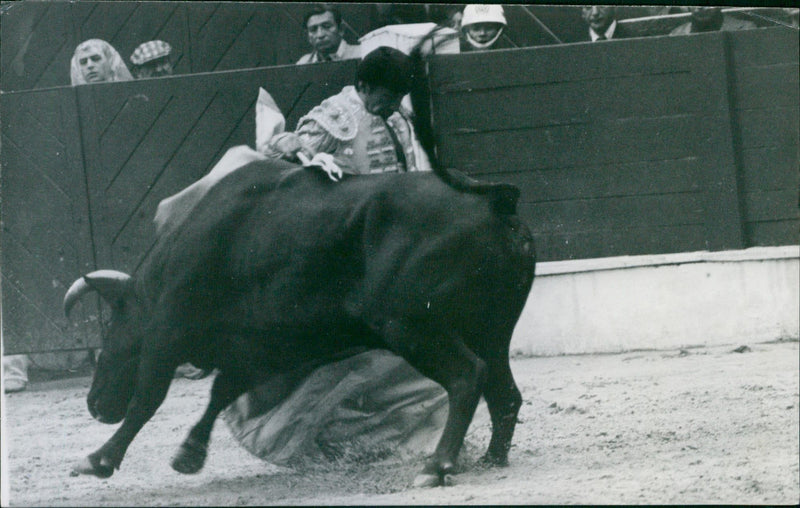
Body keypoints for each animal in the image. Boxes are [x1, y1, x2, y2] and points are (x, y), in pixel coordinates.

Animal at [64, 153, 536, 486]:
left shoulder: (168, 336)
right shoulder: (258, 350)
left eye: (112, 333)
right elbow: (221, 393)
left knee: (467, 377)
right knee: (504, 392)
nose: (93, 403)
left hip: (411, 327)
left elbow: (147, 400)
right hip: (492, 329)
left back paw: (436, 466)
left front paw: (98, 459)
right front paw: (190, 454)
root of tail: (493, 199)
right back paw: (491, 459)